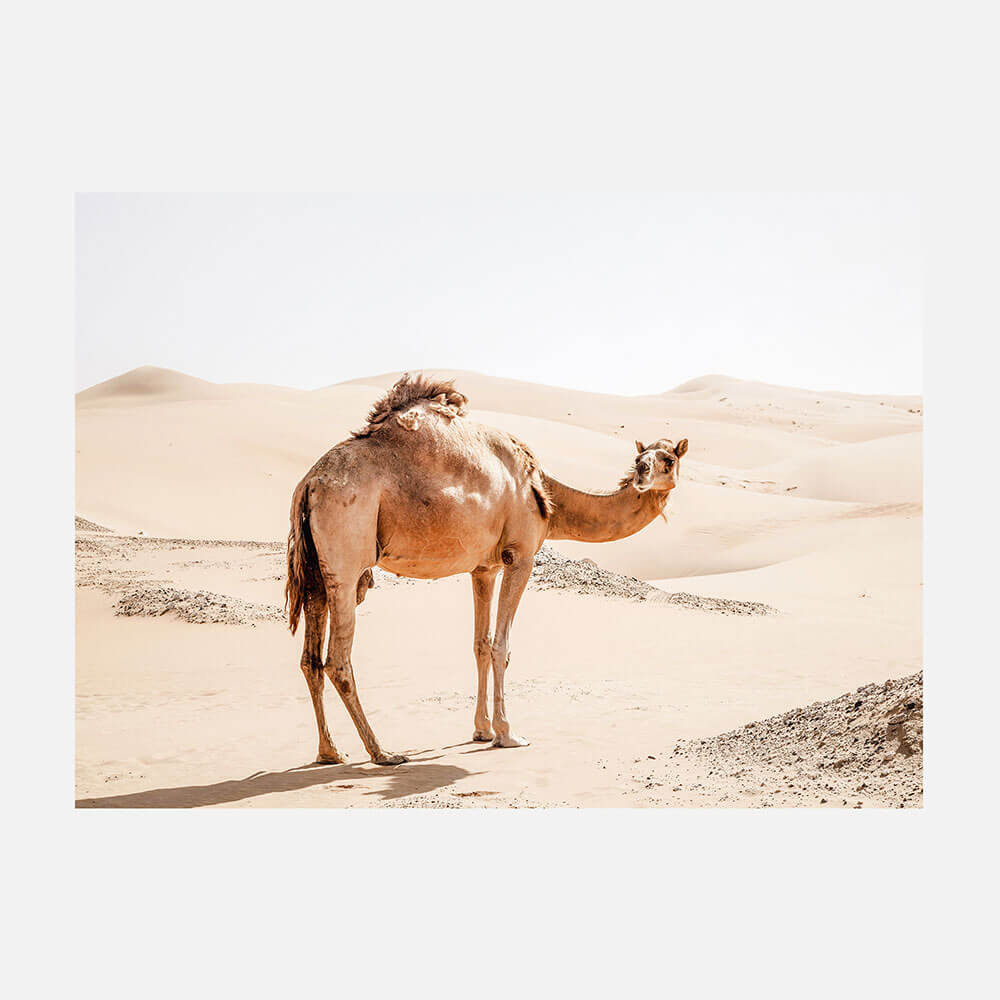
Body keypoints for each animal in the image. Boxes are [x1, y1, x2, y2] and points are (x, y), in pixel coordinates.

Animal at [285, 373, 688, 765]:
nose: (641, 472)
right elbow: (501, 645)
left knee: (310, 659)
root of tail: (309, 483)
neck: (547, 495)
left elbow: (480, 643)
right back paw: (382, 752)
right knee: (338, 661)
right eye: (644, 456)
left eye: (667, 458)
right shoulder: (520, 556)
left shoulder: (484, 568)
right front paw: (508, 734)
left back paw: (330, 751)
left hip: (317, 571)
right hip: (346, 560)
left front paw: (481, 730)